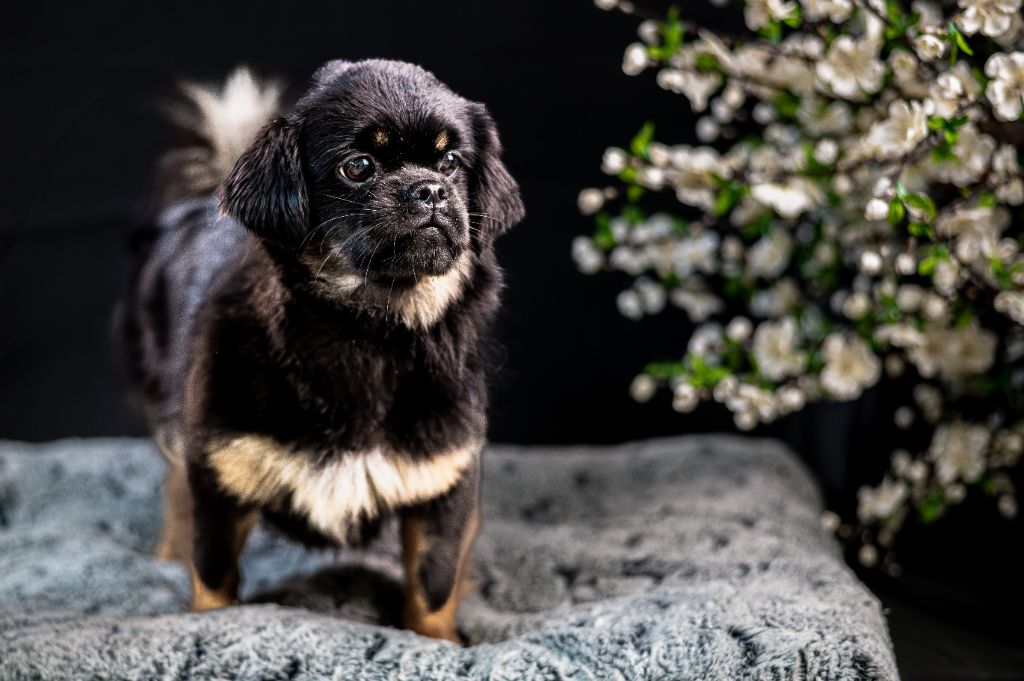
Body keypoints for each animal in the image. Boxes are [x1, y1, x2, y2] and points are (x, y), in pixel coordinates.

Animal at [119, 60, 524, 641]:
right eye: (358, 167)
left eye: (451, 162)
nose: (429, 189)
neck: (371, 331)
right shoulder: (219, 472)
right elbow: (214, 576)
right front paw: (204, 621)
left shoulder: (443, 483)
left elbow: (433, 582)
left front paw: (437, 642)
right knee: (176, 488)